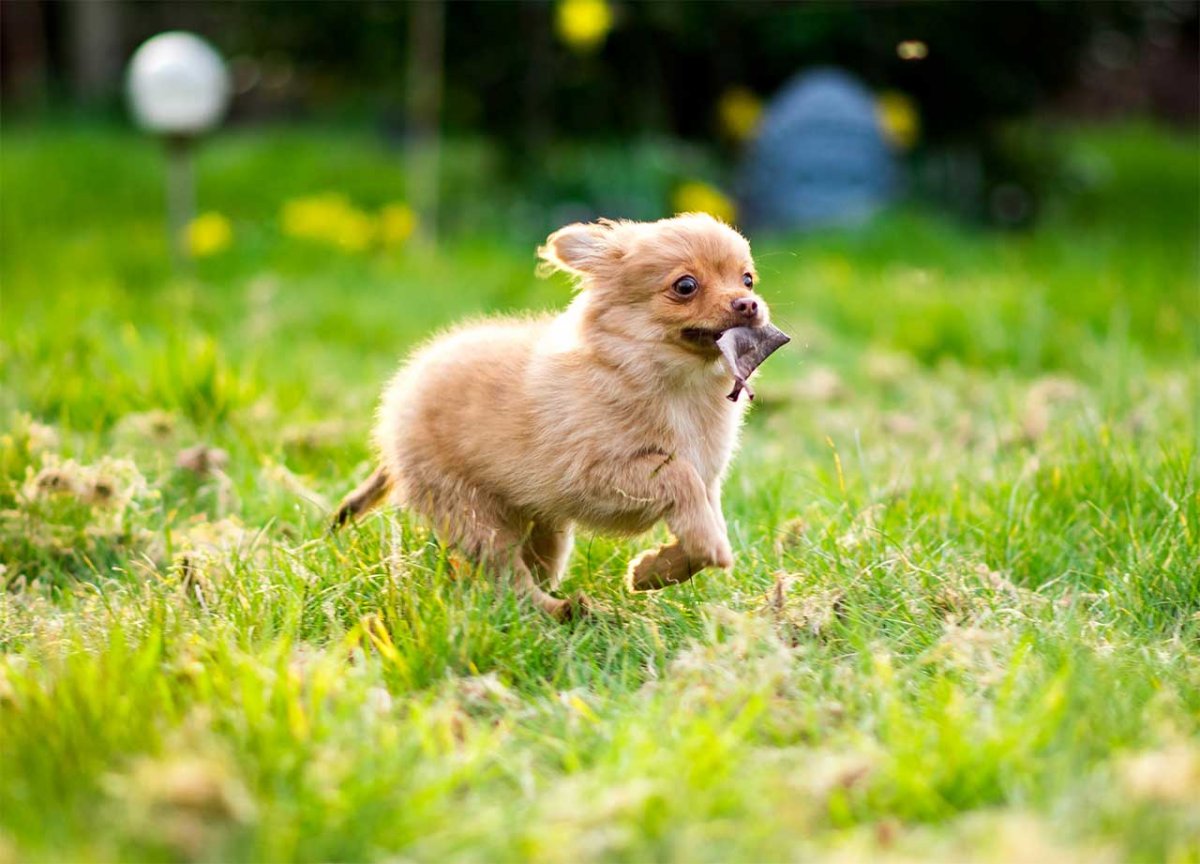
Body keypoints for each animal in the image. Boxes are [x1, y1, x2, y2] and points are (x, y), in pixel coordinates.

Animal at [336, 216, 768, 619]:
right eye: (685, 286)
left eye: (747, 280)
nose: (749, 304)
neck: (678, 385)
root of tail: (400, 392)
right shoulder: (597, 475)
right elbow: (680, 478)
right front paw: (698, 550)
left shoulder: (707, 481)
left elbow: (707, 527)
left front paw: (653, 572)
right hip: (470, 512)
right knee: (510, 581)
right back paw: (560, 611)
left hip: (545, 522)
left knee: (533, 565)